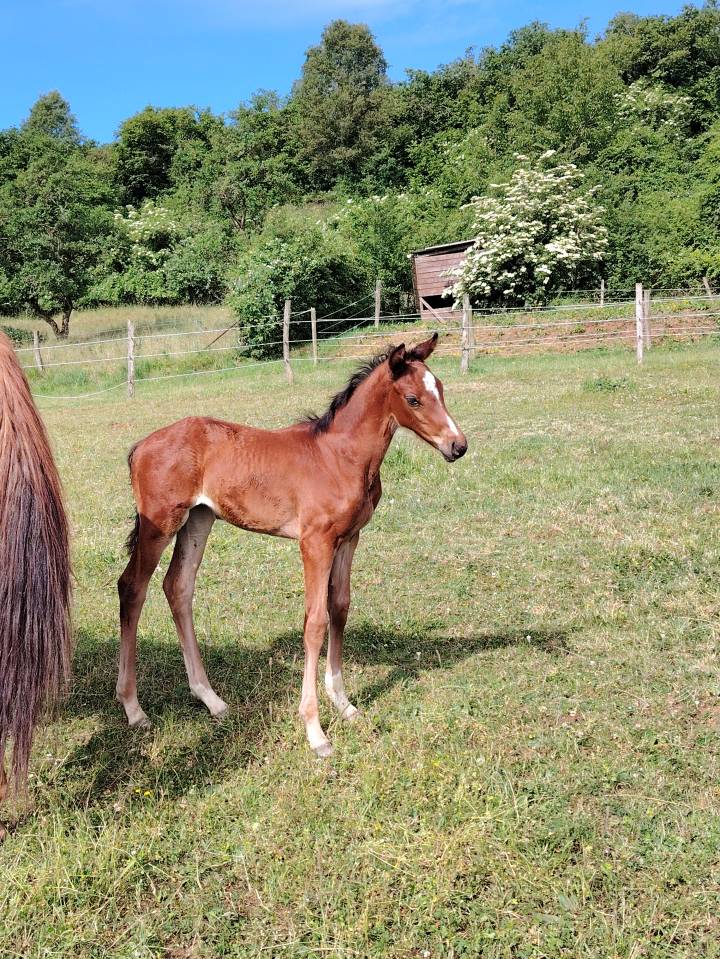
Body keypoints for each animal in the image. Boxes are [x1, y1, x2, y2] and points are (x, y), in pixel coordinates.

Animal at [117, 333, 467, 756]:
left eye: (441, 390)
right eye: (413, 399)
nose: (458, 446)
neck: (340, 457)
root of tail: (140, 446)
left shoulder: (349, 538)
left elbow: (339, 608)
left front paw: (345, 705)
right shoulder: (315, 542)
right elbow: (314, 622)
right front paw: (316, 731)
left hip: (199, 519)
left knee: (178, 587)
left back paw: (212, 700)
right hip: (161, 524)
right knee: (132, 587)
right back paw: (133, 709)